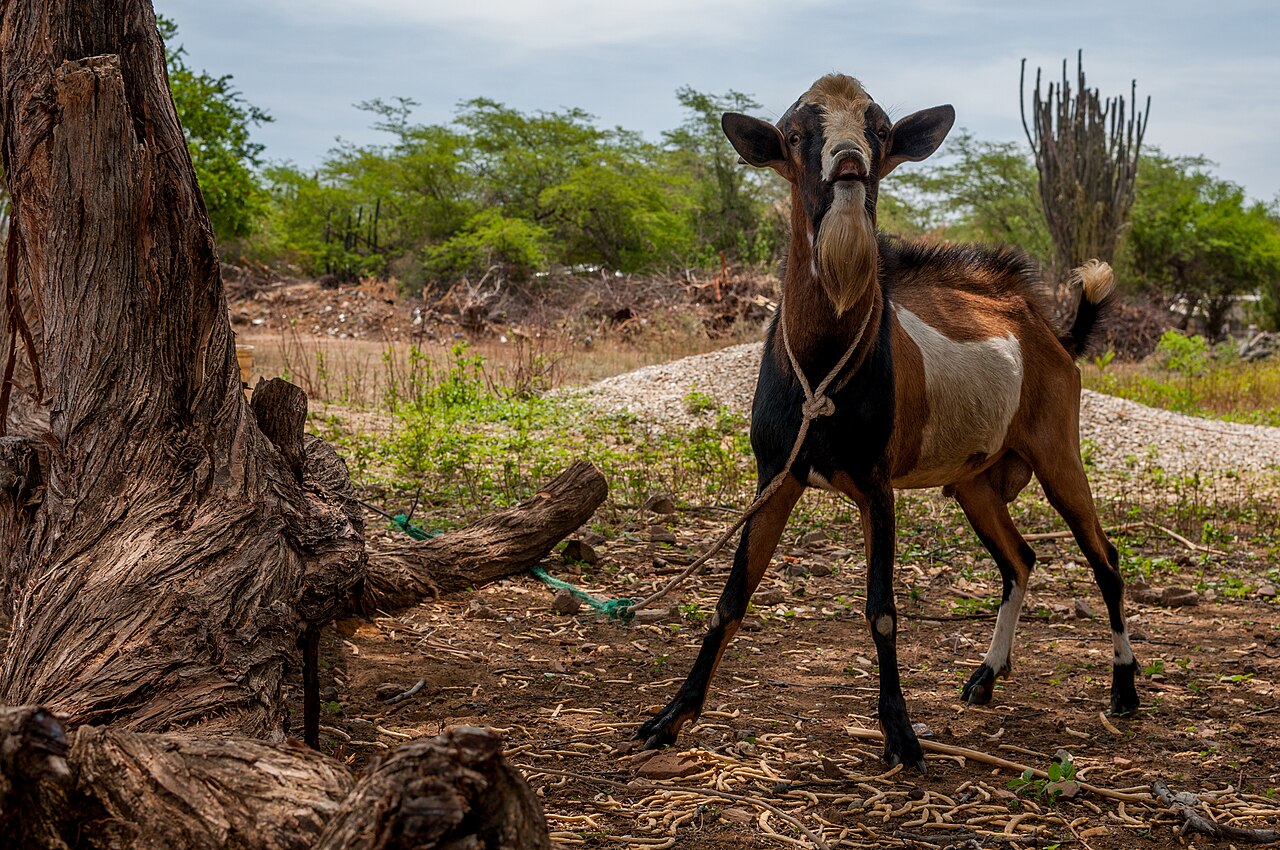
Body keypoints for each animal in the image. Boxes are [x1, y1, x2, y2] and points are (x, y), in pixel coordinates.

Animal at [636, 74, 1136, 771]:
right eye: (796, 134)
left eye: (878, 129)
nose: (848, 165)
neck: (823, 369)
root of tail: (1051, 332)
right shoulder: (777, 476)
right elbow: (730, 600)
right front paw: (670, 718)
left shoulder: (875, 487)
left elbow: (882, 611)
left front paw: (900, 735)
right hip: (974, 483)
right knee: (1020, 558)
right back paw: (986, 677)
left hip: (1058, 451)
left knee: (1104, 557)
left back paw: (1124, 690)